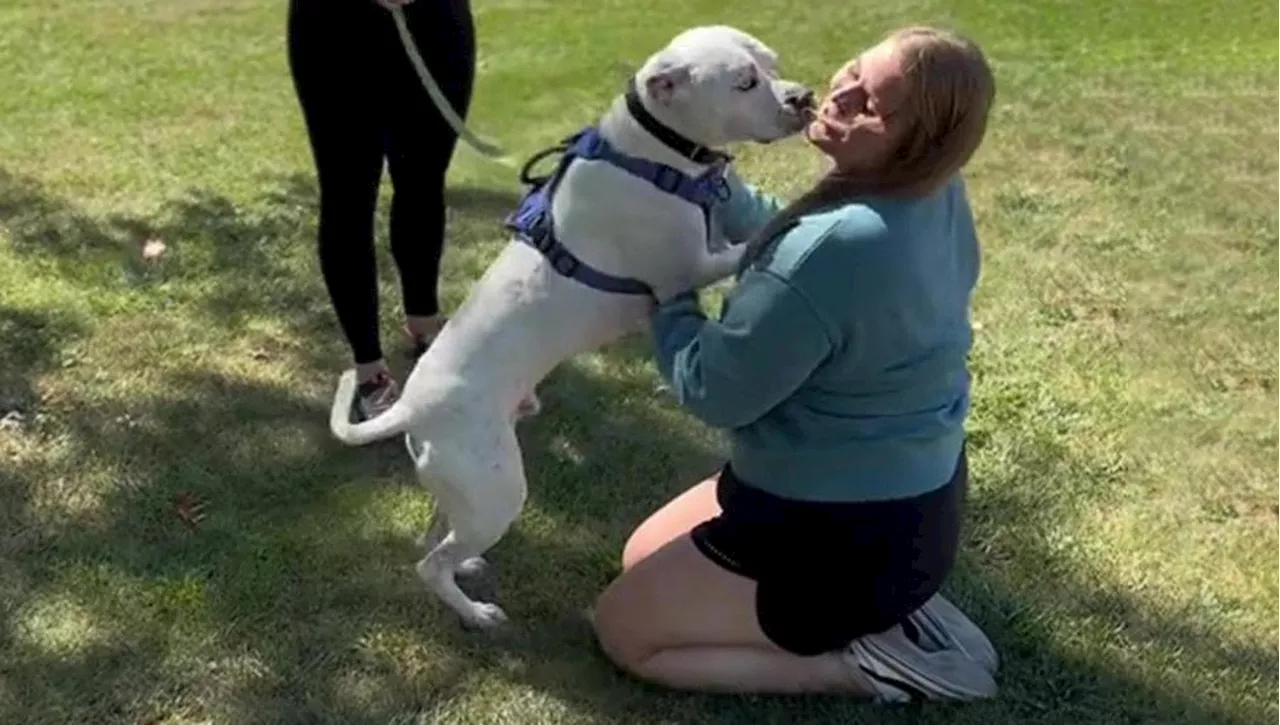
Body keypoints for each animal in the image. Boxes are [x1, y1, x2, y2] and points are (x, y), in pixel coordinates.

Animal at [325, 27, 814, 630]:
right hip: (497, 491)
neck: (652, 152)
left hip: (465, 487)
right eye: (744, 82)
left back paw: (467, 569)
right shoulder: (691, 268)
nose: (804, 98)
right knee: (430, 563)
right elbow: (747, 244)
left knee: (439, 532)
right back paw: (476, 613)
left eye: (773, 64)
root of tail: (412, 408)